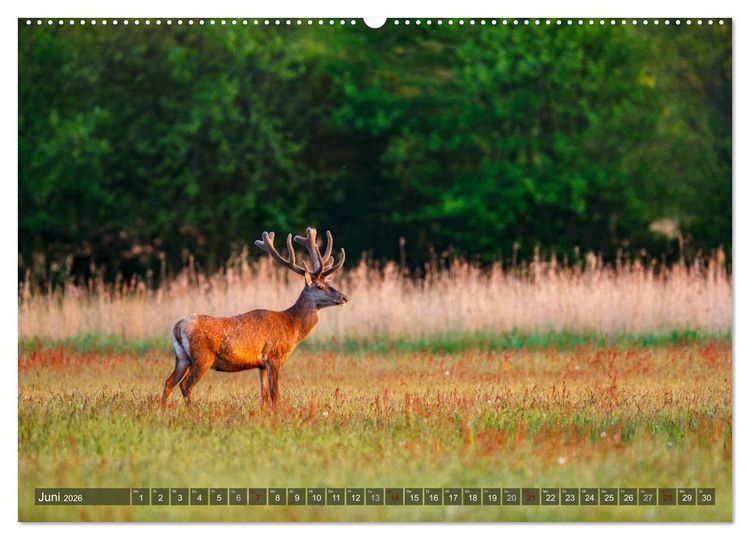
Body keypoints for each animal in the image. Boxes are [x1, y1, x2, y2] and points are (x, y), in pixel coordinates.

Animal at [160, 228, 348, 407]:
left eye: (329, 283)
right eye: (320, 287)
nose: (344, 297)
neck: (291, 327)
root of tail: (178, 326)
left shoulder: (260, 365)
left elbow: (264, 396)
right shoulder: (273, 356)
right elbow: (275, 396)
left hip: (182, 357)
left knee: (169, 382)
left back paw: (162, 409)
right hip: (202, 356)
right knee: (186, 385)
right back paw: (193, 410)